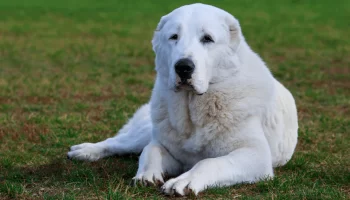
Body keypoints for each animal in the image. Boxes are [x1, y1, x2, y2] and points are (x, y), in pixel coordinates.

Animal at [67, 3, 298, 196]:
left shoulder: (256, 156)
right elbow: (151, 151)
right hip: (144, 132)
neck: (192, 108)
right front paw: (146, 174)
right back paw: (86, 151)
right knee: (119, 143)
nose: (183, 67)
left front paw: (184, 181)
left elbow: (208, 163)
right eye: (174, 37)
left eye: (207, 38)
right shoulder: (168, 149)